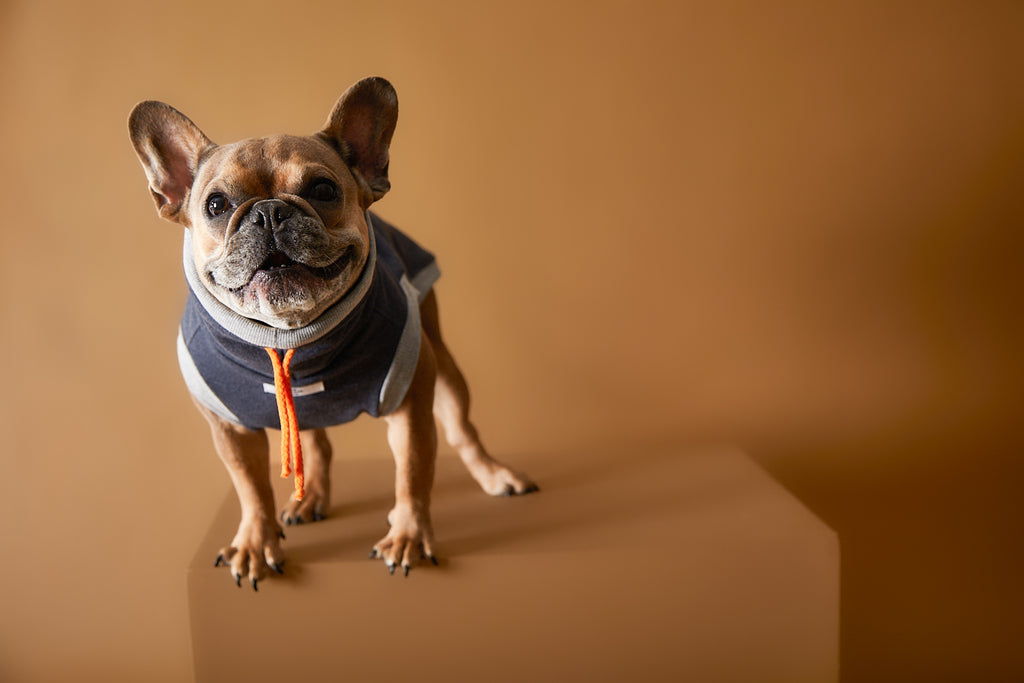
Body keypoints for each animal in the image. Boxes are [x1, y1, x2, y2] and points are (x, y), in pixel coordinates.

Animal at [130, 73, 536, 589]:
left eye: (323, 190)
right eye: (216, 205)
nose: (268, 212)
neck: (292, 333)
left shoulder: (410, 406)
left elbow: (412, 473)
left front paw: (408, 535)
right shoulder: (230, 429)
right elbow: (250, 488)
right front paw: (254, 542)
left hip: (444, 366)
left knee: (463, 428)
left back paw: (496, 476)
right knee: (316, 442)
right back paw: (309, 499)